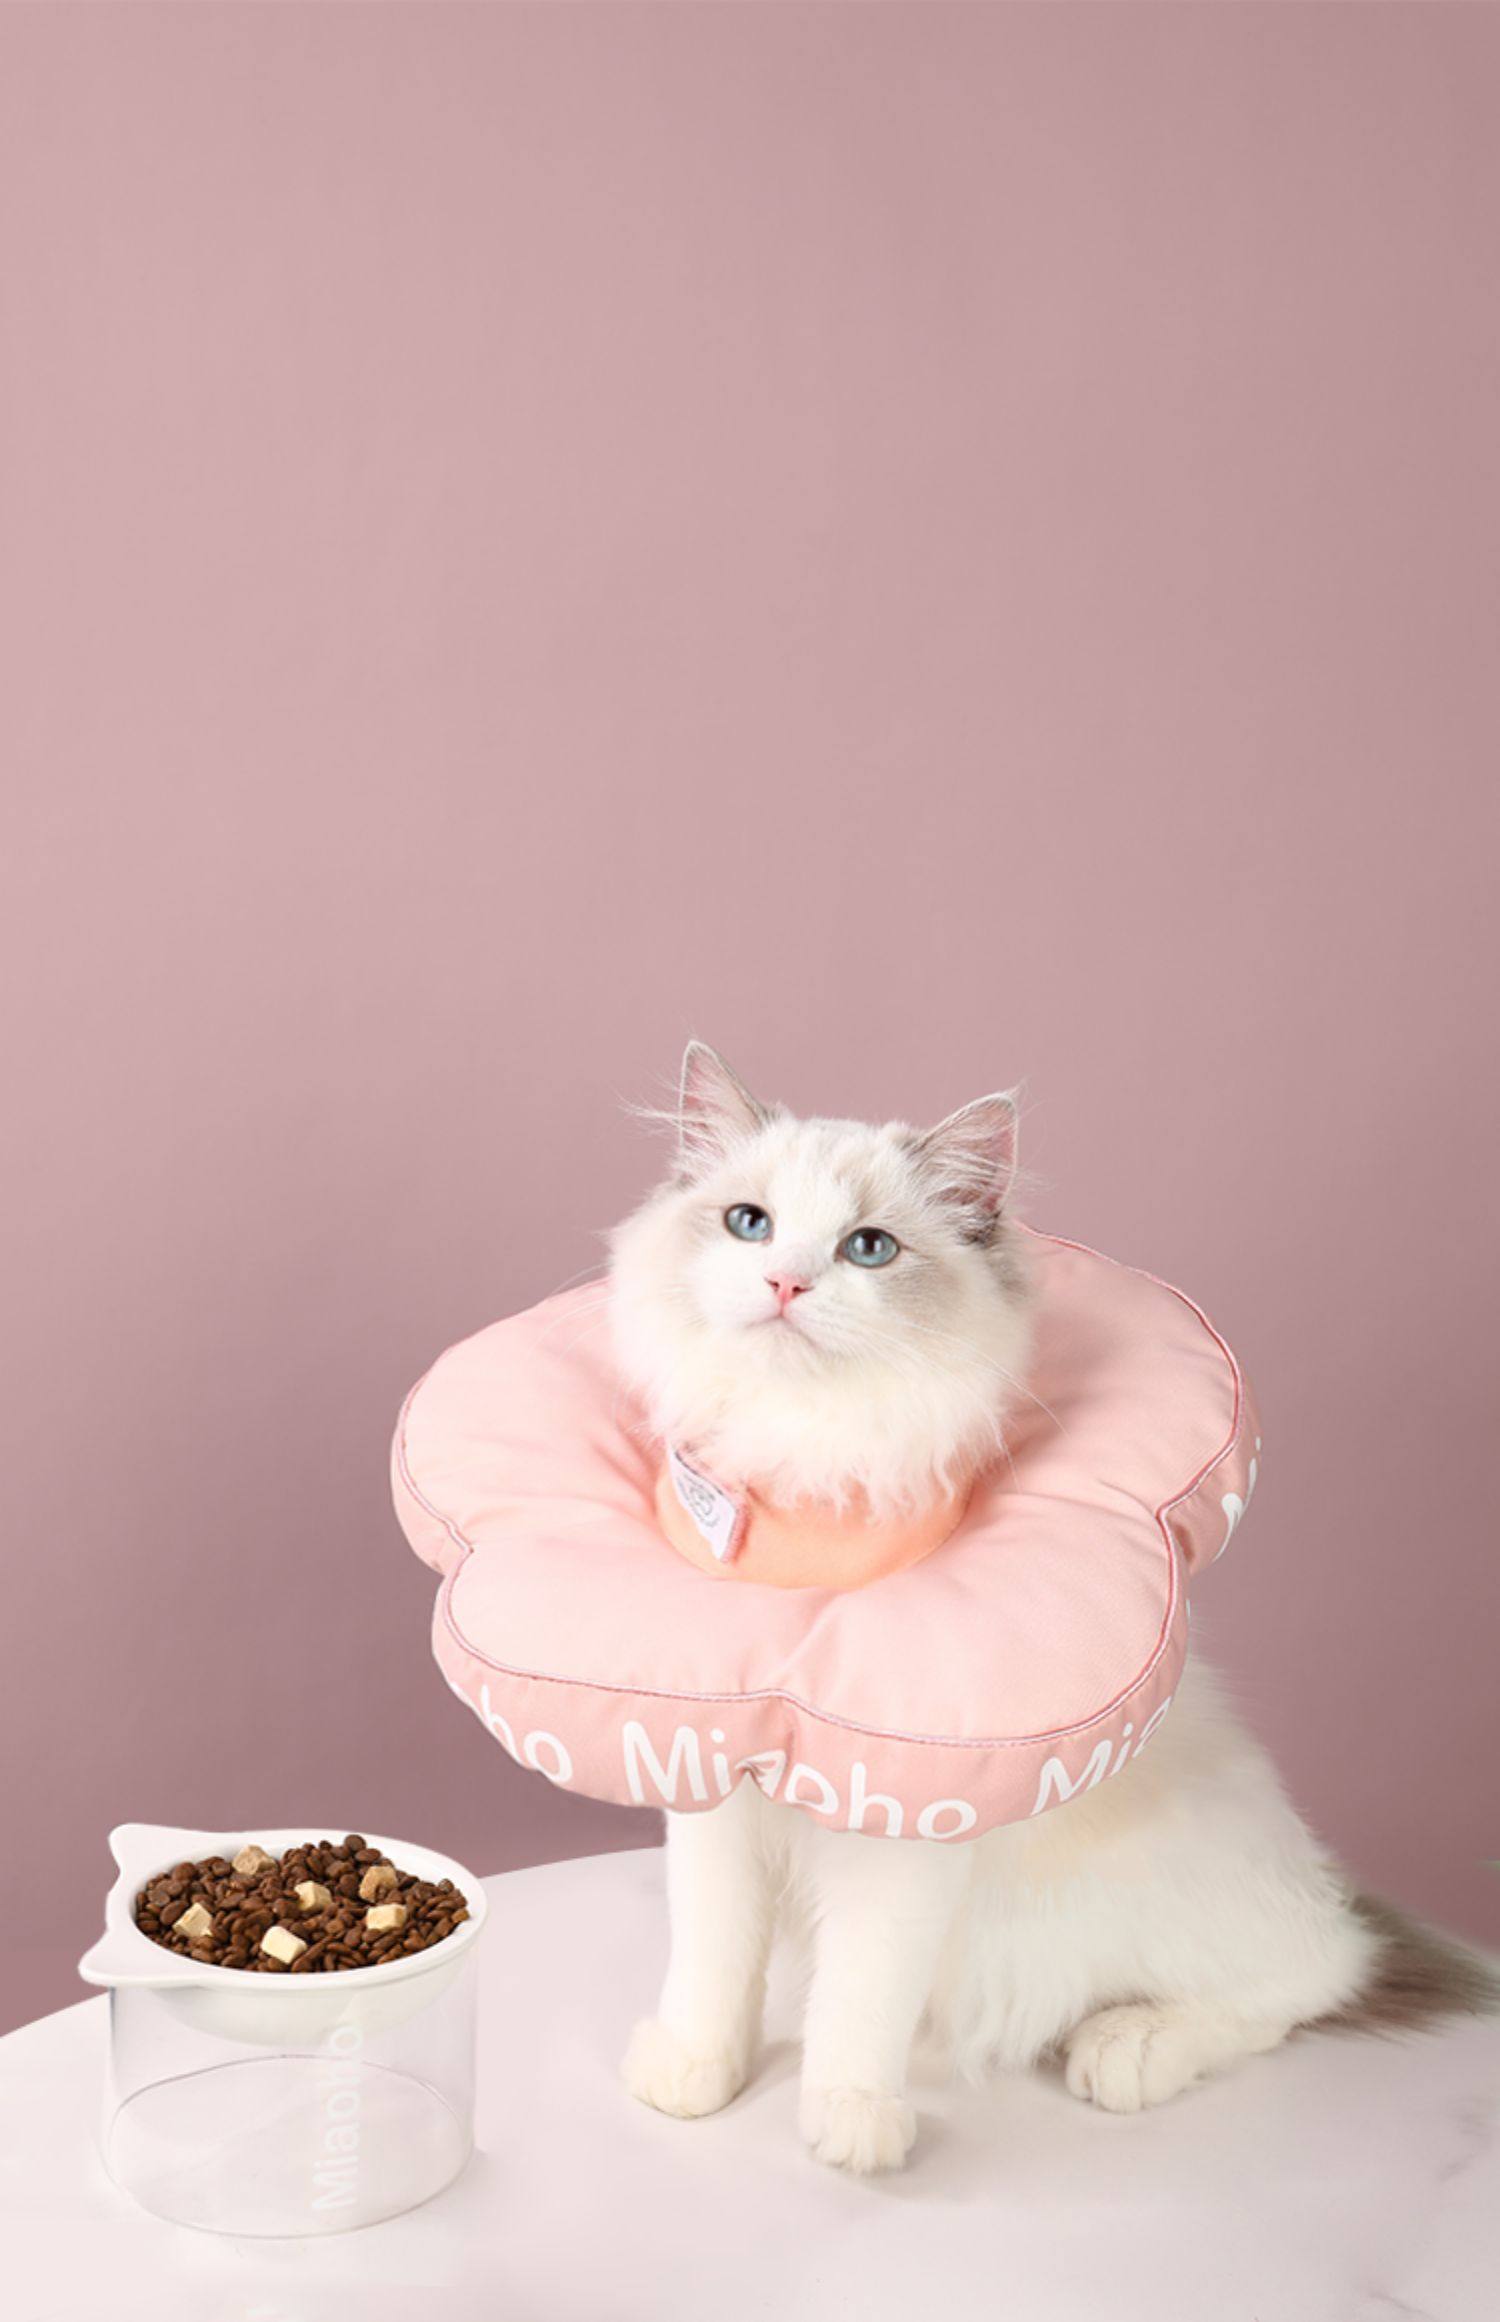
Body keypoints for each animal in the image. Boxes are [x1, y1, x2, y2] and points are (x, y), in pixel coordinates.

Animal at [608, 1042, 1492, 2173]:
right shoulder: (716, 1799)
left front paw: (851, 2123)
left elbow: (861, 1996)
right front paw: (694, 2077)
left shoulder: (905, 1832)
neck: (812, 1469)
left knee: (1307, 1981)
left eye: (868, 1250)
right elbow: (714, 1964)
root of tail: (1322, 1880)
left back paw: (1127, 2047)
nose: (785, 1280)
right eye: (748, 1224)